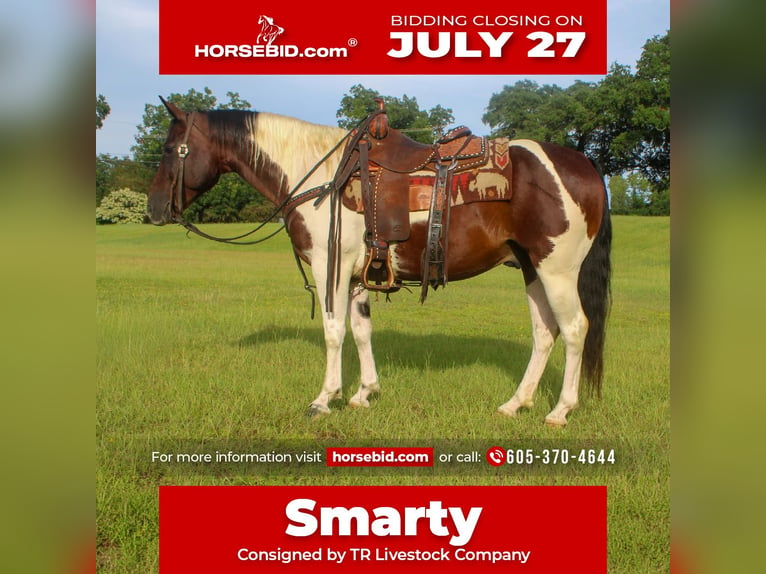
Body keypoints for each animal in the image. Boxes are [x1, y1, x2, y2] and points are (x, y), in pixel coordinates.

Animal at [146, 98, 611, 426]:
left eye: (171, 149)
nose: (152, 209)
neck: (321, 178)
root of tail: (583, 162)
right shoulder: (356, 274)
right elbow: (361, 330)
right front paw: (364, 393)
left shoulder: (329, 267)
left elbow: (334, 331)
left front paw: (324, 399)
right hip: (532, 268)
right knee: (545, 333)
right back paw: (516, 403)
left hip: (557, 270)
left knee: (574, 329)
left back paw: (560, 410)